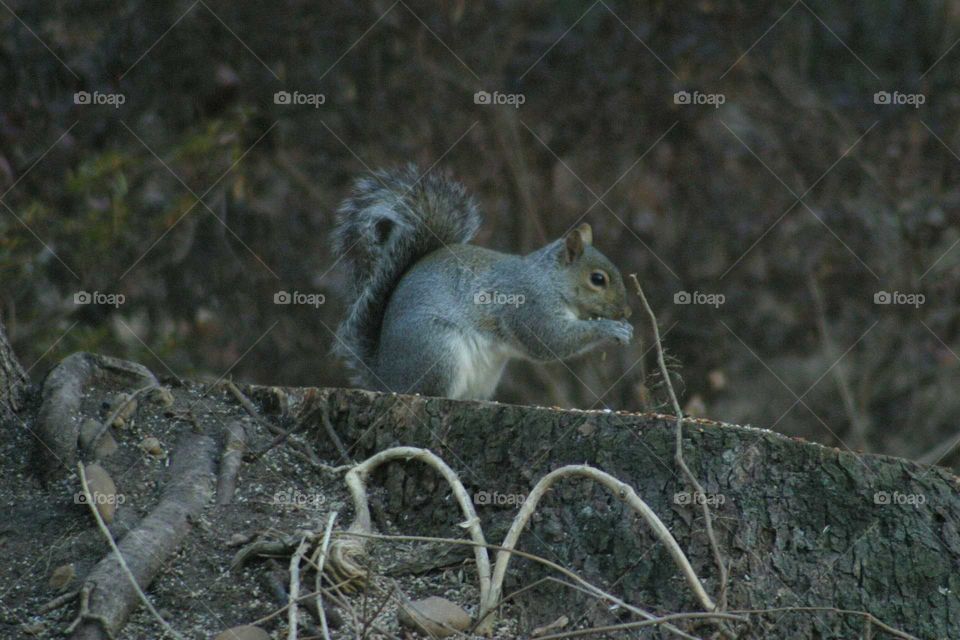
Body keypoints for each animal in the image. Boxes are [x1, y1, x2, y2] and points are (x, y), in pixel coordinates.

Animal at [334, 166, 632, 400]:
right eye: (598, 279)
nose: (627, 311)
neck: (549, 279)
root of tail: (383, 377)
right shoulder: (529, 303)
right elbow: (551, 340)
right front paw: (611, 329)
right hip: (437, 349)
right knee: (428, 390)